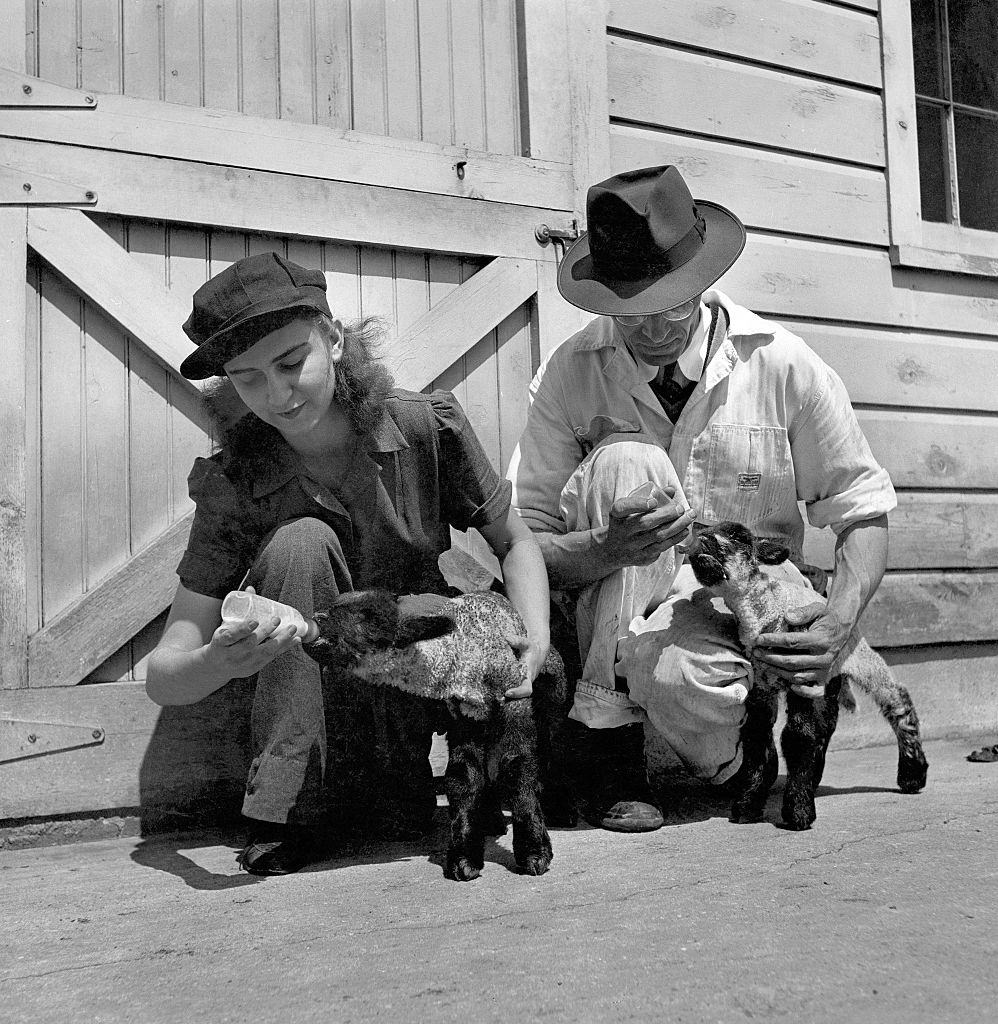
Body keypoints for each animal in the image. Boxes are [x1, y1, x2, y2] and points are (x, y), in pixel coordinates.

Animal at [302, 589, 569, 884]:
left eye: (369, 618)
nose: (317, 619)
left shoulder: (515, 700)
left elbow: (518, 769)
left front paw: (534, 852)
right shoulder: (465, 715)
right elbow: (464, 776)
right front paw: (464, 858)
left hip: (551, 697)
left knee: (550, 748)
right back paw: (490, 820)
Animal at [687, 524, 929, 827]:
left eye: (739, 536)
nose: (702, 539)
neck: (765, 609)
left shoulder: (799, 676)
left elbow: (798, 736)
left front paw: (798, 812)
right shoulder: (761, 685)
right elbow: (758, 739)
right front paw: (747, 805)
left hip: (858, 658)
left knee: (897, 700)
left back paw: (912, 775)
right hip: (827, 680)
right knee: (826, 725)